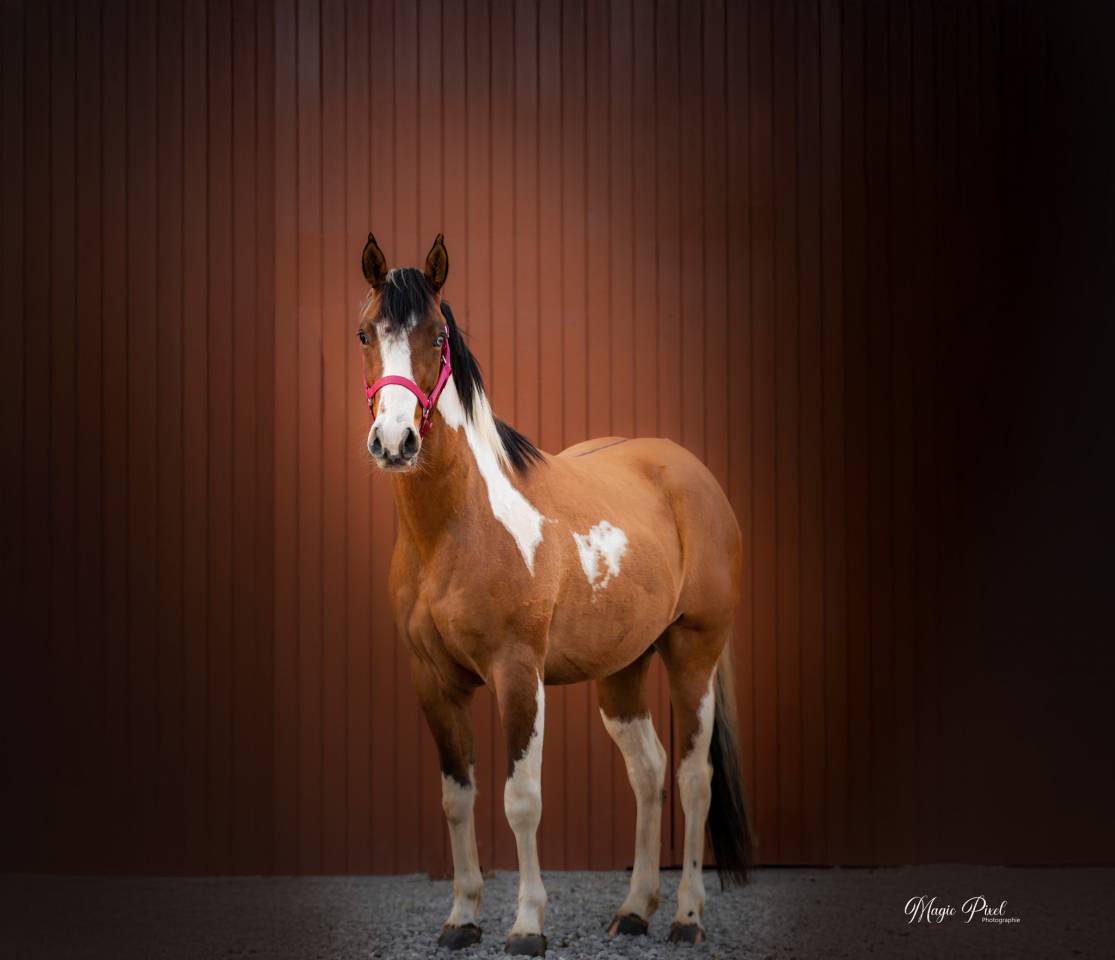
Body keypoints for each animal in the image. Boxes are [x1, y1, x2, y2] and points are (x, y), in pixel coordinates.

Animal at [357, 233, 752, 956]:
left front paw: (526, 925)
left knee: (692, 778)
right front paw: (462, 918)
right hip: (622, 670)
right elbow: (457, 799)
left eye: (437, 336)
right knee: (649, 772)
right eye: (365, 333)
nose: (395, 441)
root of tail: (692, 474)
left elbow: (521, 800)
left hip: (694, 654)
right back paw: (634, 910)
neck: (456, 527)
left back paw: (685, 916)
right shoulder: (432, 681)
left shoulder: (518, 674)